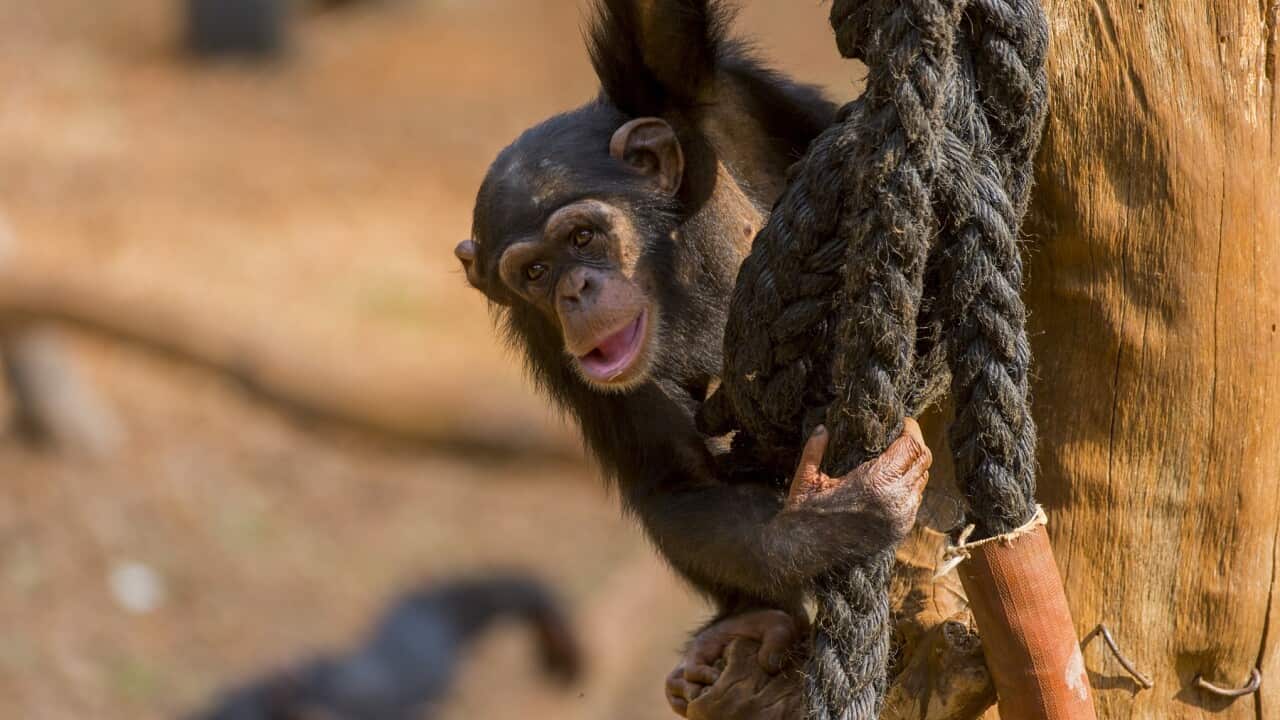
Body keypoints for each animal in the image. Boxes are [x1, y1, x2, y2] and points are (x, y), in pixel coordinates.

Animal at [457, 0, 932, 713]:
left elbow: (663, 28)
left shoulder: (682, 90)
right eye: (534, 271)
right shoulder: (545, 336)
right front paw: (834, 522)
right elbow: (677, 485)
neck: (668, 263)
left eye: (583, 236)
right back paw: (751, 643)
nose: (575, 290)